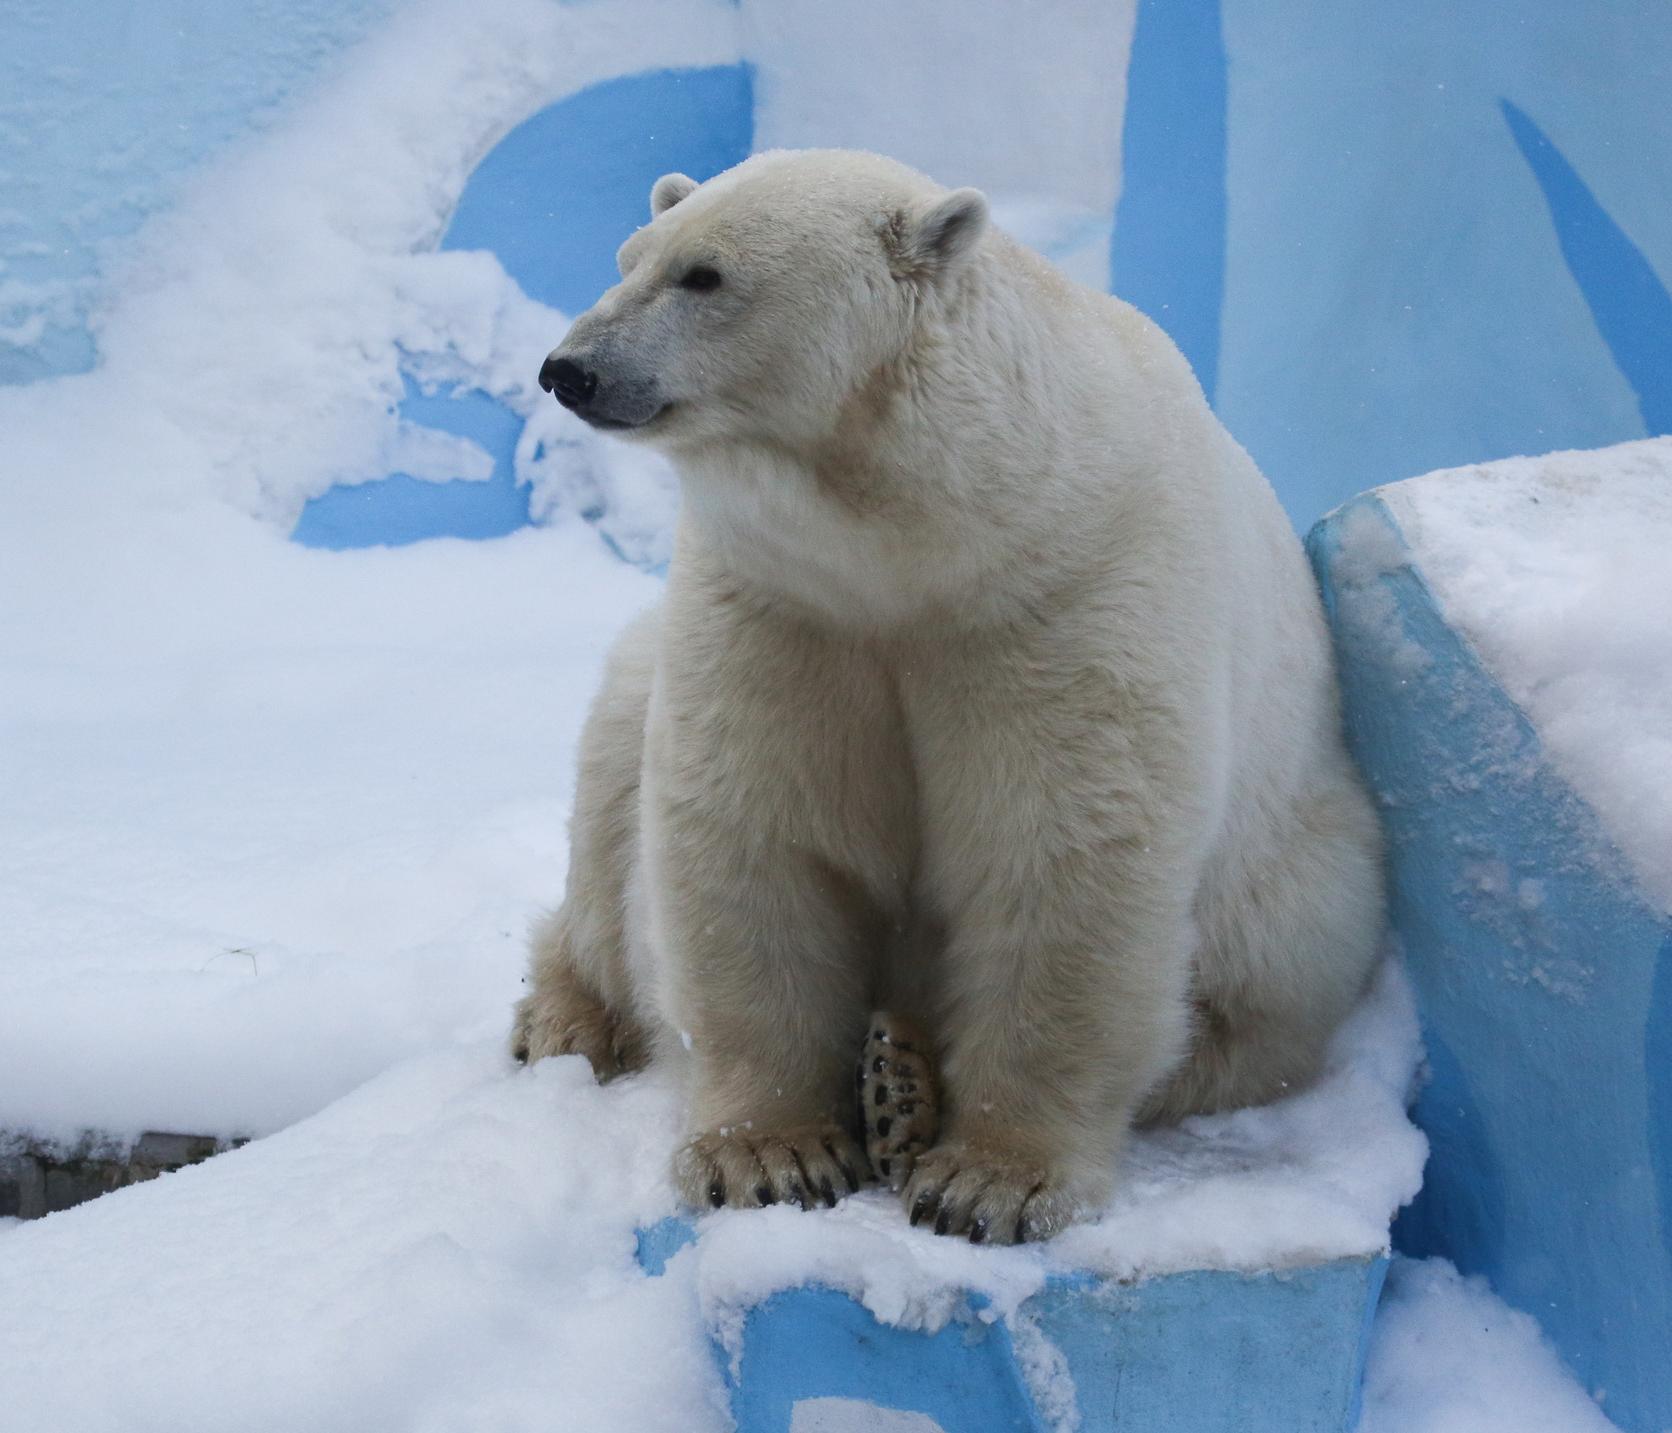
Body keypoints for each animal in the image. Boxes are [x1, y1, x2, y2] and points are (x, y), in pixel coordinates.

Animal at [511, 147, 1384, 1244]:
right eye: (629, 257)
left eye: (704, 275)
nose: (569, 369)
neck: (935, 532)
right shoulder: (780, 607)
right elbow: (756, 835)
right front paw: (768, 1154)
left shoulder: (1070, 595)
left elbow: (1065, 856)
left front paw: (990, 1181)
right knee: (609, 798)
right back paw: (570, 1020)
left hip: (1310, 871)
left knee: (1253, 1010)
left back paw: (905, 1079)